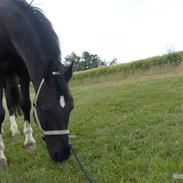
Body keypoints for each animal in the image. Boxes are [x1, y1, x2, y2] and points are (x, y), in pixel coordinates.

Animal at [0, 0, 73, 167]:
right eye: (46, 109)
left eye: (71, 107)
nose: (63, 155)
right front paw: (1, 155)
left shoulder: (23, 72)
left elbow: (25, 104)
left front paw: (29, 141)